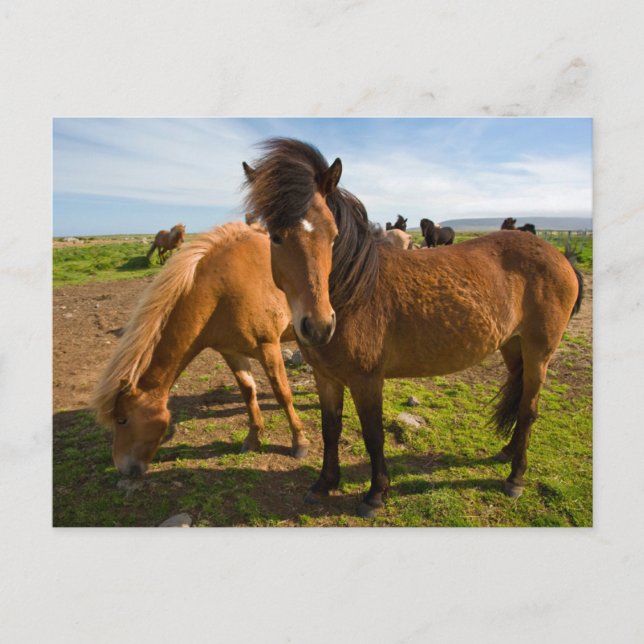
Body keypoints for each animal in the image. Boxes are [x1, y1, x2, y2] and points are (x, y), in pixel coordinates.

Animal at [91, 222, 309, 478]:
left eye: (122, 420)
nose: (123, 468)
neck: (223, 289)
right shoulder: (231, 352)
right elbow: (248, 393)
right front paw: (253, 439)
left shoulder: (268, 347)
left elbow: (282, 393)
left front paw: (299, 442)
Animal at [243, 138, 583, 518]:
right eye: (275, 237)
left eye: (333, 235)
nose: (318, 326)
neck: (355, 292)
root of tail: (560, 257)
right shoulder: (326, 377)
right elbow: (331, 429)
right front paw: (324, 484)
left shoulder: (366, 379)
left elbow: (373, 434)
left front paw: (375, 494)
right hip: (513, 346)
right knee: (521, 398)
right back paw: (508, 452)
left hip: (540, 352)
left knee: (529, 410)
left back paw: (515, 478)